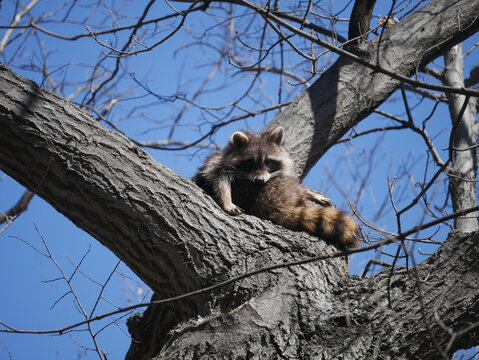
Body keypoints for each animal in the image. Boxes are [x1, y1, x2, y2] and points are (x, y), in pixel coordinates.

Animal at [193, 126, 362, 248]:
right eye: (250, 163)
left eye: (268, 162)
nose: (259, 181)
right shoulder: (218, 165)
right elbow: (219, 181)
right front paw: (226, 200)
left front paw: (310, 192)